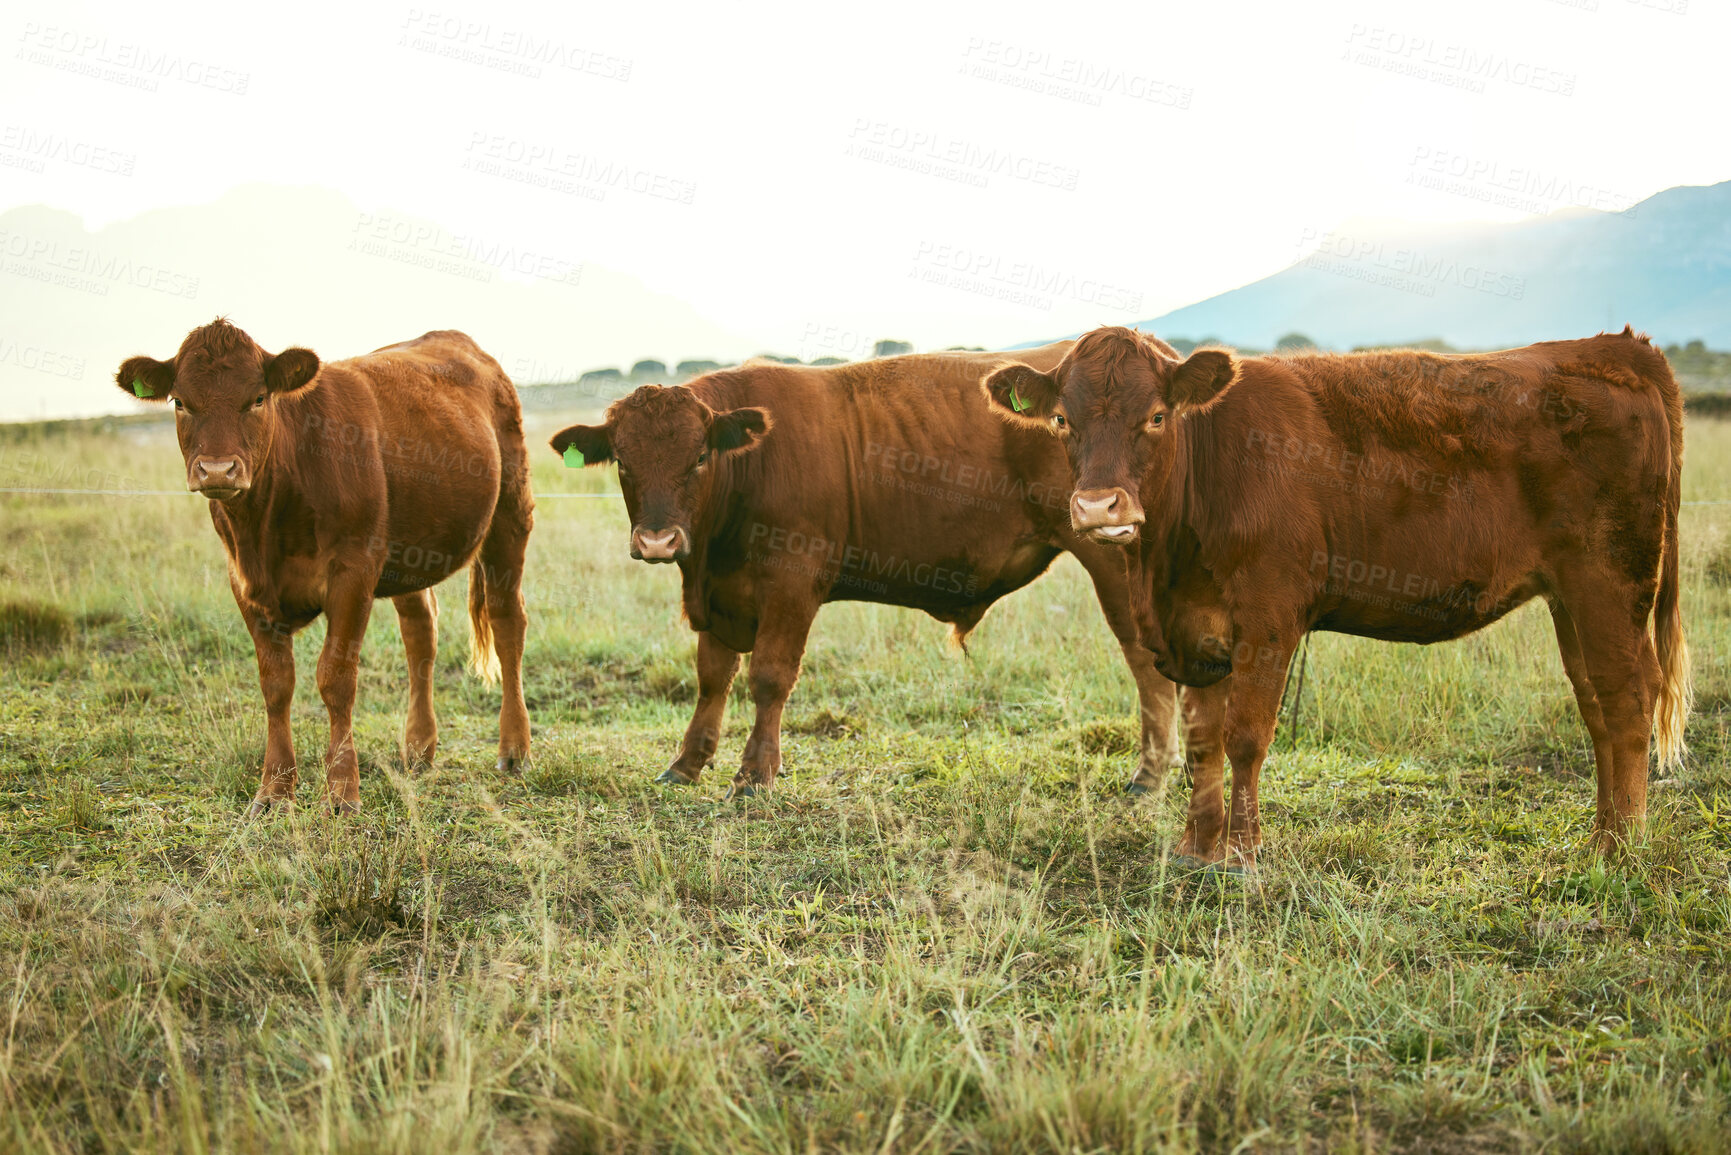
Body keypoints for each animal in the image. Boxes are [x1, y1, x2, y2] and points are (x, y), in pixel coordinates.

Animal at [117, 318, 529, 813]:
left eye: (258, 398)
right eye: (180, 401)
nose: (217, 470)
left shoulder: (353, 573)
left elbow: (336, 678)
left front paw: (342, 791)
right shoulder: (245, 583)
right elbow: (276, 685)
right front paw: (274, 790)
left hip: (509, 514)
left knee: (507, 622)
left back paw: (514, 749)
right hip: (410, 551)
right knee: (420, 633)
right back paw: (418, 748)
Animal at [553, 342, 1190, 796]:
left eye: (700, 457)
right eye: (624, 463)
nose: (658, 540)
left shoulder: (792, 584)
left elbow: (769, 677)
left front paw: (754, 776)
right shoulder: (718, 596)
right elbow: (712, 677)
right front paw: (686, 764)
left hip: (1114, 560)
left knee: (1146, 663)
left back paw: (1150, 777)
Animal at [990, 329, 1689, 862]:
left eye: (1157, 417)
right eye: (1062, 420)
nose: (1097, 507)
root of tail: (1610, 348)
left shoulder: (1269, 617)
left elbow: (1245, 736)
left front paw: (1242, 854)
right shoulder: (1193, 634)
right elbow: (1202, 741)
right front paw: (1196, 847)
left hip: (1611, 582)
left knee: (1629, 699)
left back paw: (1619, 849)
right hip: (1570, 597)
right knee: (1596, 704)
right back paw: (1600, 836)